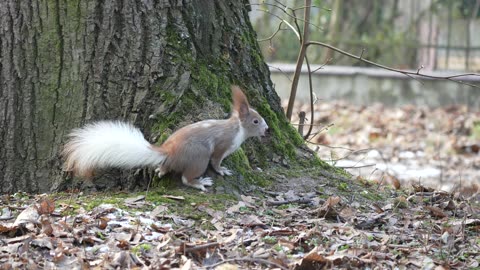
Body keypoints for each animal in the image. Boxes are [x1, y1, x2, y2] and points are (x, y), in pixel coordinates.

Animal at [62, 85, 268, 191]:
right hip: (199, 158)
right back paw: (199, 183)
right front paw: (222, 170)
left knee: (166, 168)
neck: (237, 128)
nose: (267, 129)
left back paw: (161, 170)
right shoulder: (222, 145)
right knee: (186, 178)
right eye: (256, 121)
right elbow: (216, 161)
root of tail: (168, 152)